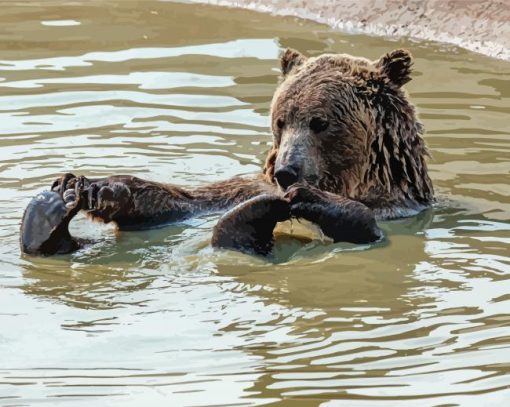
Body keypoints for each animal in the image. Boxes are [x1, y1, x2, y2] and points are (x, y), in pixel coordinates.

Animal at [20, 49, 434, 256]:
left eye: (320, 122)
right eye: (281, 120)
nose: (286, 171)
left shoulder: (400, 210)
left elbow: (368, 224)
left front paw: (310, 198)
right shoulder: (241, 188)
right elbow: (186, 202)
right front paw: (92, 186)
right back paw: (48, 215)